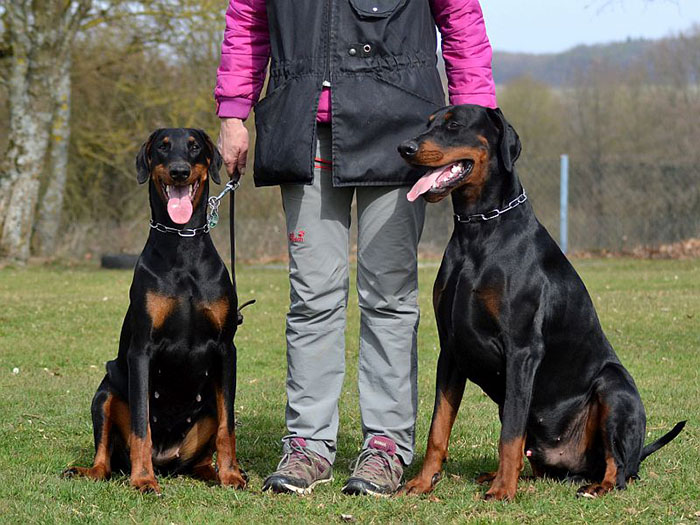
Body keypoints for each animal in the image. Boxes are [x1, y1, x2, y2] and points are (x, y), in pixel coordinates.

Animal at [64, 129, 247, 494]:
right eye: (162, 147)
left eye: (194, 146)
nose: (179, 171)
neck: (182, 244)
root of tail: (167, 458)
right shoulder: (141, 351)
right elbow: (141, 426)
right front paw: (143, 479)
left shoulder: (225, 349)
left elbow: (228, 426)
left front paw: (231, 474)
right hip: (105, 391)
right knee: (106, 460)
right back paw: (92, 470)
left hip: (207, 407)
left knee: (200, 458)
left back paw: (215, 473)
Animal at [397, 105, 685, 500]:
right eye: (428, 123)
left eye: (454, 125)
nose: (405, 148)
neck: (478, 230)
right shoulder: (451, 349)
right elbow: (438, 427)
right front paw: (423, 483)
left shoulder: (522, 351)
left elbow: (510, 433)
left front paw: (503, 491)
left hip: (614, 386)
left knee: (620, 468)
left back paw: (597, 485)